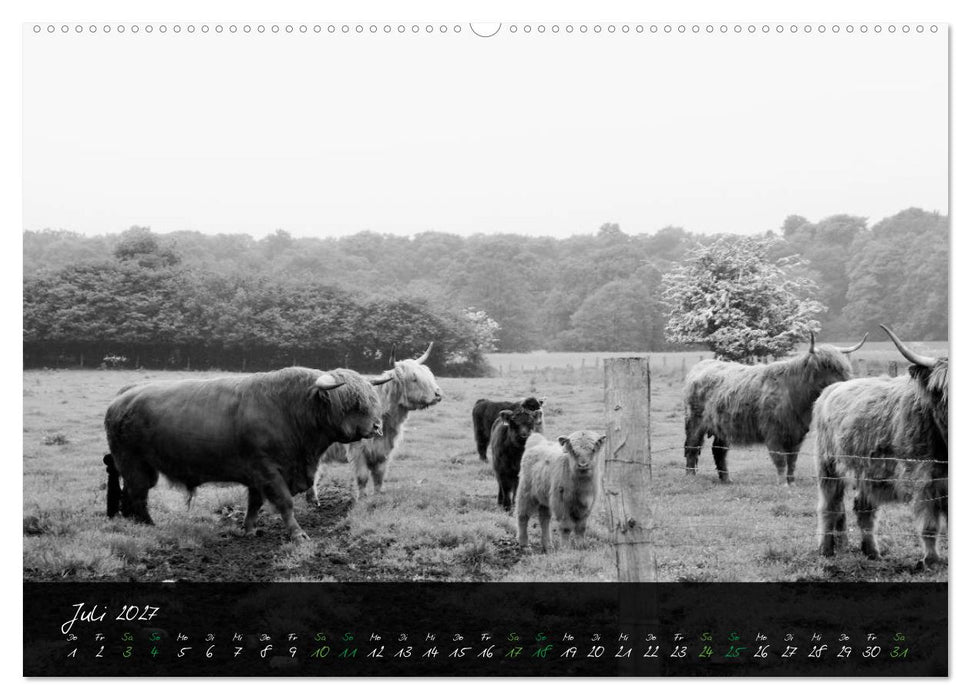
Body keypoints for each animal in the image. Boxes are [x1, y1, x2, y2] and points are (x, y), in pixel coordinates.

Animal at [103, 366, 392, 541]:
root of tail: (123, 397)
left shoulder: (257, 475)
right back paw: (149, 525)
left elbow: (254, 503)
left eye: (371, 398)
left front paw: (249, 529)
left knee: (131, 493)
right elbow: (285, 503)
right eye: (352, 403)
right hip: (133, 463)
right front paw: (297, 534)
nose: (377, 426)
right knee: (137, 494)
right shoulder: (268, 470)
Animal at [308, 342, 442, 501]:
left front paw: (378, 495)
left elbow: (379, 475)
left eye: (429, 374)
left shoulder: (383, 450)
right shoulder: (357, 450)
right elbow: (362, 476)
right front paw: (362, 498)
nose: (438, 394)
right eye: (414, 378)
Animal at [683, 332, 868, 484]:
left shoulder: (797, 434)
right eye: (828, 366)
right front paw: (782, 483)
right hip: (694, 422)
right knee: (691, 447)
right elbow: (780, 460)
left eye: (844, 366)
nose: (848, 382)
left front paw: (791, 482)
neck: (795, 394)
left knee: (718, 450)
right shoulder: (773, 433)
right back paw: (691, 476)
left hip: (722, 427)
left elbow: (792, 461)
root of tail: (702, 364)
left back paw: (727, 479)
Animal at [814, 325, 948, 568]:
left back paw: (872, 552)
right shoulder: (921, 480)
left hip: (867, 472)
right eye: (941, 389)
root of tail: (833, 388)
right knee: (829, 506)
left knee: (864, 510)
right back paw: (826, 550)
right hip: (827, 467)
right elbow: (930, 525)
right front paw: (931, 560)